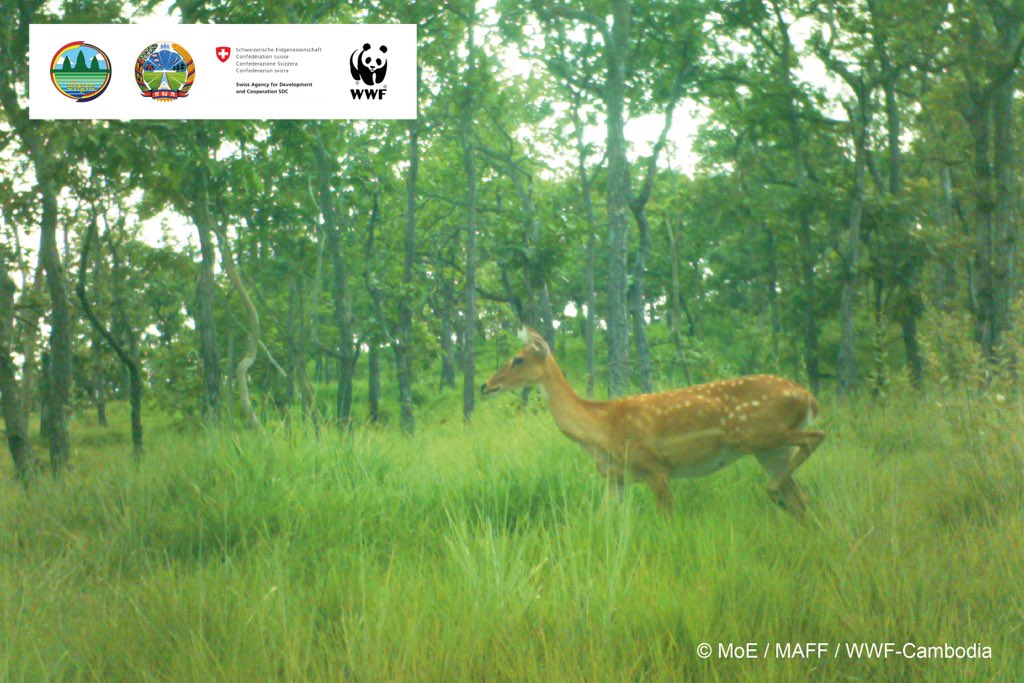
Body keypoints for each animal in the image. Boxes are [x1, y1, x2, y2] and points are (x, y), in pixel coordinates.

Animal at [479, 327, 823, 516]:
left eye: (517, 359)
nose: (485, 385)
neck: (600, 429)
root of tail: (808, 397)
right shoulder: (617, 478)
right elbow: (599, 519)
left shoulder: (656, 467)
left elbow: (669, 518)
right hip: (768, 450)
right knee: (801, 498)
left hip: (761, 432)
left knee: (815, 438)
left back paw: (773, 491)